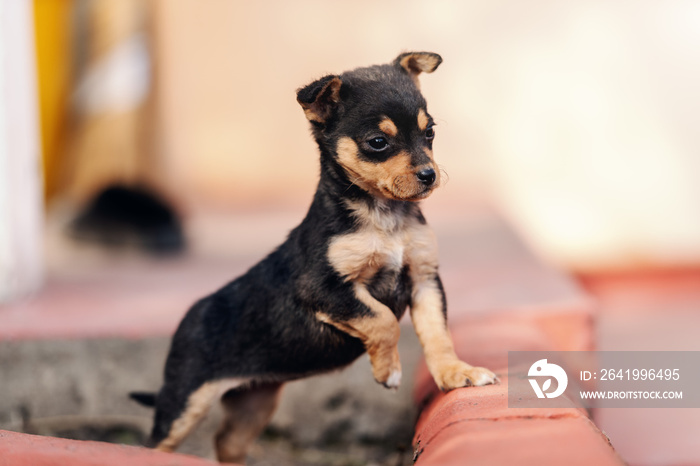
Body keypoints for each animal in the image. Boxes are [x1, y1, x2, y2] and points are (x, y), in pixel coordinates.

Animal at [134, 52, 498, 462]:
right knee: (157, 444)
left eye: (430, 133)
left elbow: (438, 334)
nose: (428, 175)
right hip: (184, 403)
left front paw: (455, 373)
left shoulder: (424, 279)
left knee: (227, 442)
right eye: (378, 142)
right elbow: (382, 319)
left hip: (254, 403)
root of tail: (187, 319)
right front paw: (388, 370)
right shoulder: (324, 288)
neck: (384, 218)